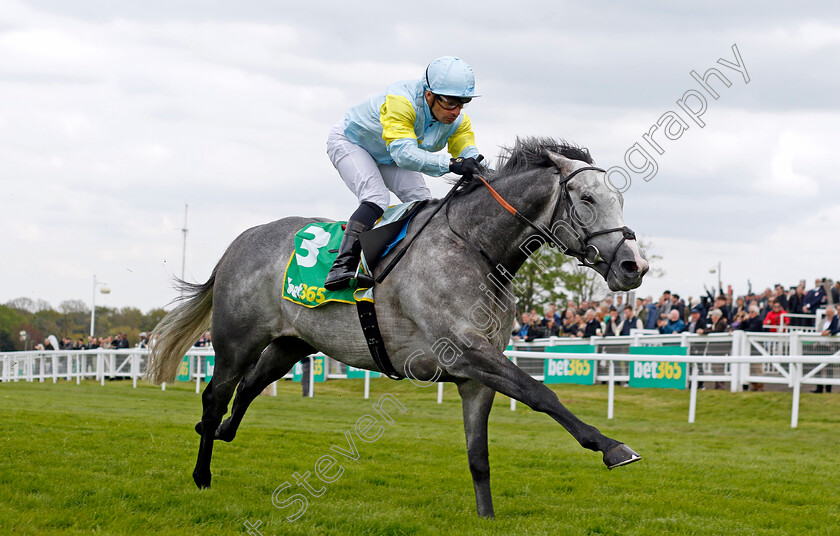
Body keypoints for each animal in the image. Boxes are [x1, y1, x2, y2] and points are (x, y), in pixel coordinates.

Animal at [148, 138, 648, 520]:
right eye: (587, 199)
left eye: (620, 199)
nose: (634, 266)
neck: (475, 248)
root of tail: (240, 241)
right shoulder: (467, 350)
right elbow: (540, 393)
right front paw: (612, 446)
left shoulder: (475, 375)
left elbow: (479, 456)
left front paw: (486, 517)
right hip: (237, 339)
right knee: (216, 395)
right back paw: (202, 473)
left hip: (291, 345)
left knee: (248, 388)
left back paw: (218, 431)